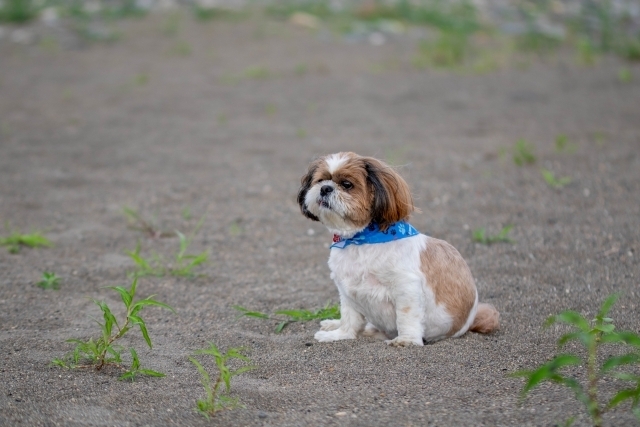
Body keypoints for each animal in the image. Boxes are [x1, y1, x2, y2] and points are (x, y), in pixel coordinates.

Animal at [296, 154, 500, 348]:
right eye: (320, 180)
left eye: (347, 184)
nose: (325, 188)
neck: (361, 240)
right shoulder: (347, 291)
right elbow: (349, 318)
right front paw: (340, 335)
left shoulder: (406, 287)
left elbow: (406, 315)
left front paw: (407, 340)